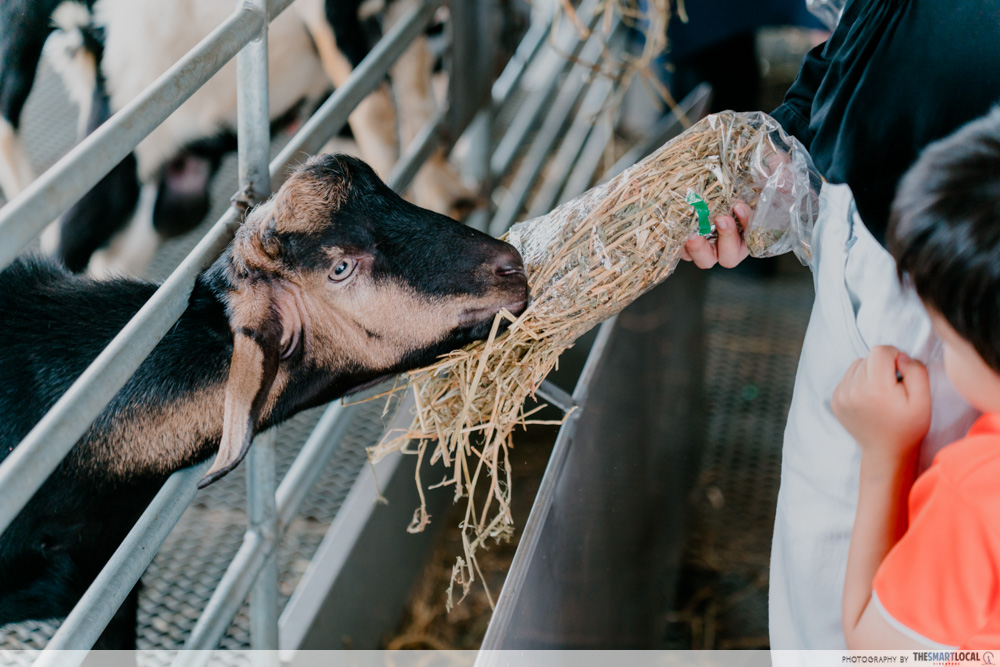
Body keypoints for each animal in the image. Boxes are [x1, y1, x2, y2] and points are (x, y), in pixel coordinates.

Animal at [0, 0, 472, 276]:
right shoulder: (326, 15)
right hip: (114, 157)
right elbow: (373, 101)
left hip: (167, 192)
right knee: (66, 237)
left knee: (116, 251)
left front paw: (447, 198)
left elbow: (412, 87)